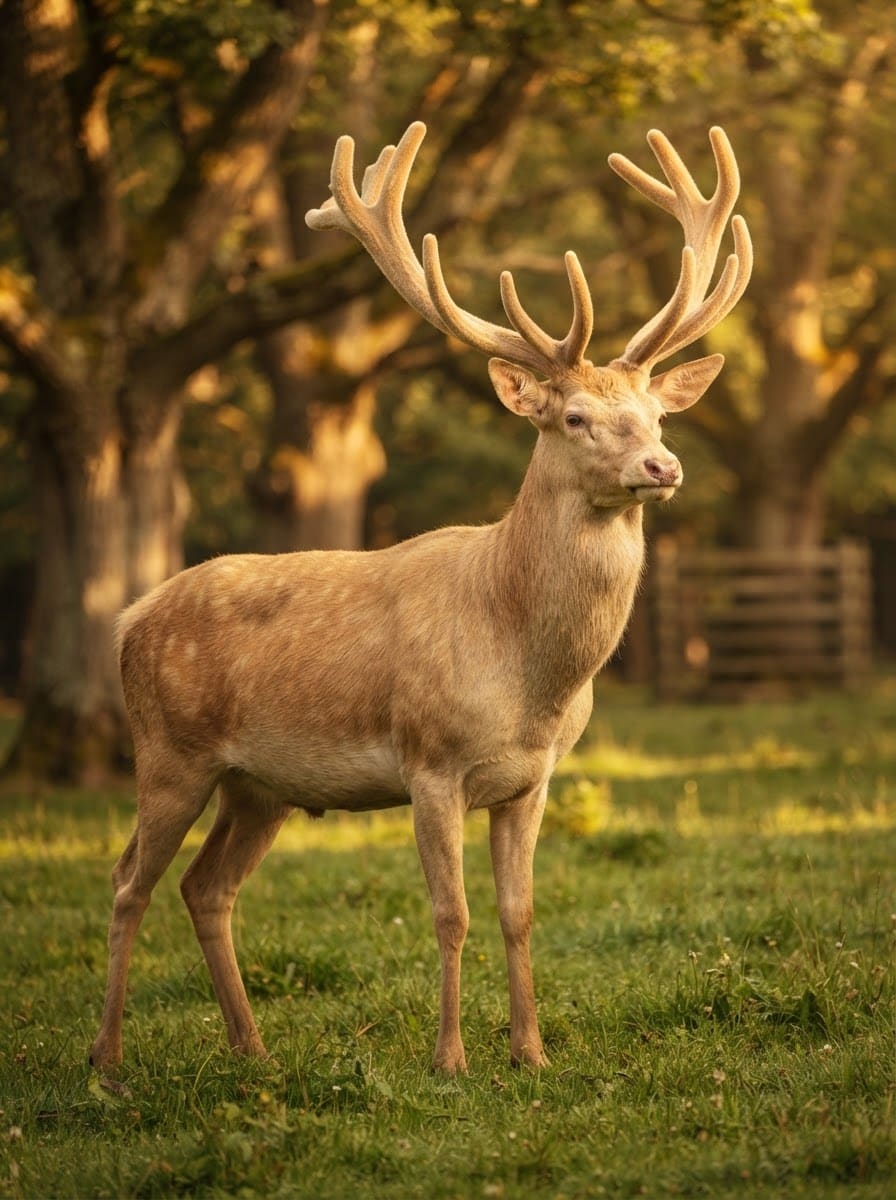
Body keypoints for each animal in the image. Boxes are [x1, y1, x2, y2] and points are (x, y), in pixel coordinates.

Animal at [89, 121, 752, 1076]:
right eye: (575, 417)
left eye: (659, 416)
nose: (661, 467)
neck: (529, 675)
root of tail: (129, 619)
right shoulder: (429, 762)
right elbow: (452, 914)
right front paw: (450, 1060)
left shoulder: (532, 778)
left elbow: (519, 912)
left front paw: (531, 1053)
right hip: (167, 751)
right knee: (126, 881)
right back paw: (106, 1061)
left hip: (258, 785)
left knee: (203, 886)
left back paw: (252, 1050)